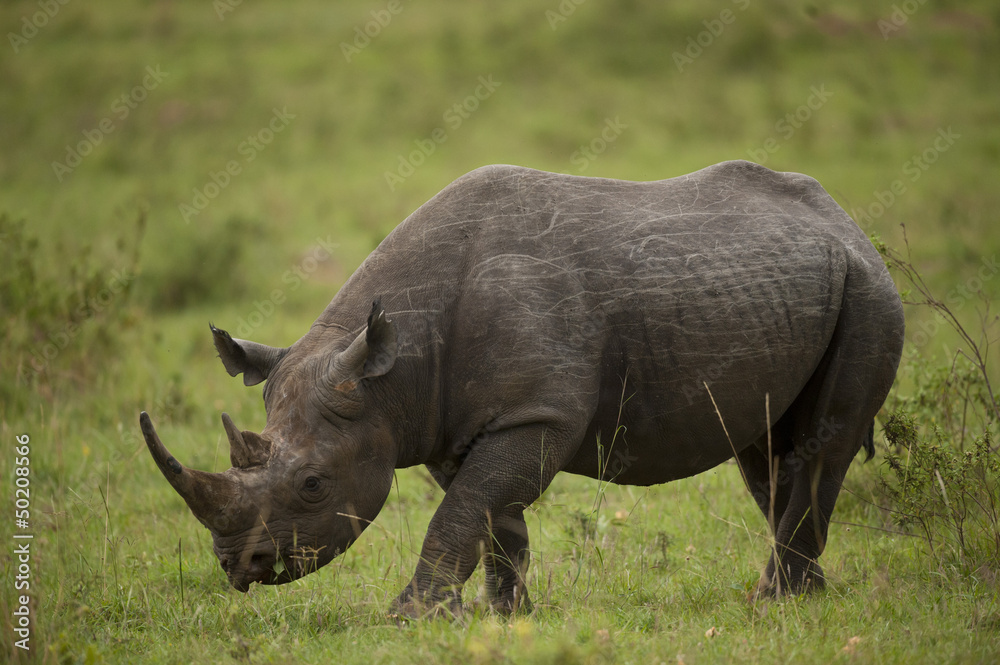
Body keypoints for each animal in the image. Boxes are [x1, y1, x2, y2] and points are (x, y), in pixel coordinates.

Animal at [141, 160, 904, 616]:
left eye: (312, 485)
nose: (238, 567)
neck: (390, 374)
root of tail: (844, 220)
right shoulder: (456, 420)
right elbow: (490, 515)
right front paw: (506, 617)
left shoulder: (535, 413)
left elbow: (462, 511)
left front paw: (411, 617)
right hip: (792, 285)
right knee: (764, 453)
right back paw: (802, 596)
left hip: (870, 289)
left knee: (821, 445)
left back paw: (778, 602)